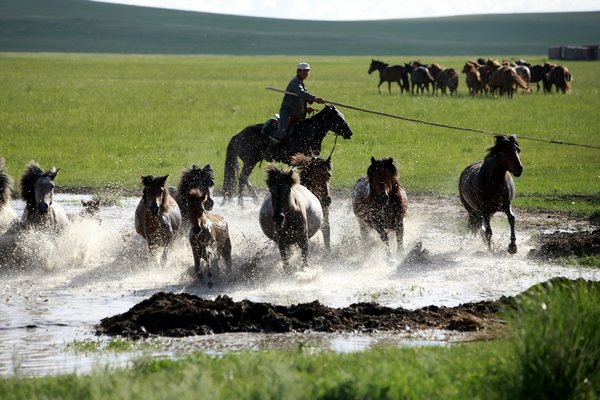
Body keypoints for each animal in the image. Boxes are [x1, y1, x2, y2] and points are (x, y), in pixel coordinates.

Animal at [221, 104, 352, 206]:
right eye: (338, 118)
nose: (350, 133)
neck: (309, 132)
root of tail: (237, 136)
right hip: (250, 160)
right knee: (243, 177)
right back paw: (241, 204)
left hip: (251, 161)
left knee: (245, 178)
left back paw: (254, 199)